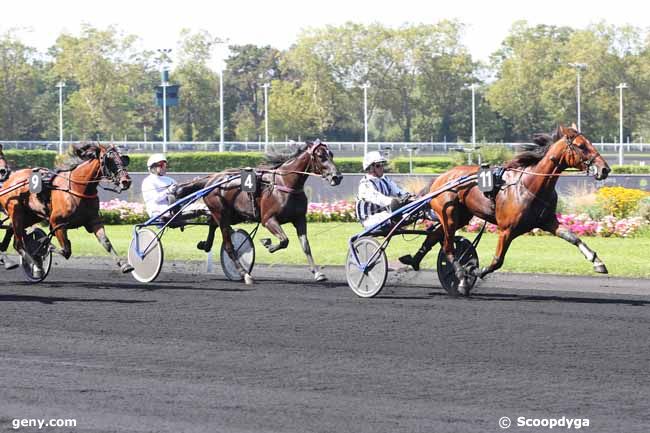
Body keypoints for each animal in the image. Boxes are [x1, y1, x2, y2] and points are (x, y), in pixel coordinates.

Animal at [0, 142, 133, 276]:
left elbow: (106, 242)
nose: (126, 181)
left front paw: (124, 265)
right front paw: (45, 245)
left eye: (123, 158)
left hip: (31, 216)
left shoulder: (94, 221)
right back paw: (35, 265)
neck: (78, 188)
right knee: (19, 244)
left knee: (13, 234)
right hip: (16, 212)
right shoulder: (57, 223)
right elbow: (65, 250)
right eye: (108, 160)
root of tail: (8, 180)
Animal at [175, 138, 342, 286]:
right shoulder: (268, 219)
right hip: (221, 213)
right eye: (321, 156)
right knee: (229, 246)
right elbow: (284, 240)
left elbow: (305, 245)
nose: (337, 177)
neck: (285, 183)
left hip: (232, 214)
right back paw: (245, 274)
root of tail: (212, 180)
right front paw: (268, 244)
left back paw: (206, 244)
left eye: (332, 154)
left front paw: (318, 273)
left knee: (212, 225)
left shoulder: (300, 219)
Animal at [428, 123, 612, 296]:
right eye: (581, 146)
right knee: (448, 247)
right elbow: (497, 260)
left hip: (461, 216)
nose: (605, 169)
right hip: (449, 215)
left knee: (436, 238)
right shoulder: (506, 229)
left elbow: (574, 238)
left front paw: (597, 261)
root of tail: (440, 178)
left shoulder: (548, 221)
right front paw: (473, 270)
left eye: (590, 143)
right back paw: (460, 277)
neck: (529, 185)